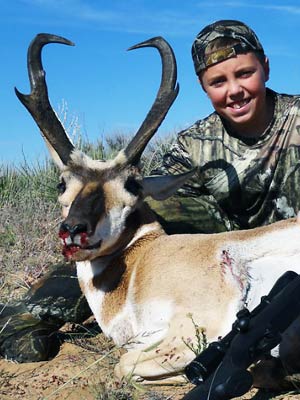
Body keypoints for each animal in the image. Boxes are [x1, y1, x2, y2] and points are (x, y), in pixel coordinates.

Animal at [16, 32, 300, 390]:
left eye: (132, 184)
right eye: (61, 183)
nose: (74, 230)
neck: (142, 261)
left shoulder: (197, 330)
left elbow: (125, 364)